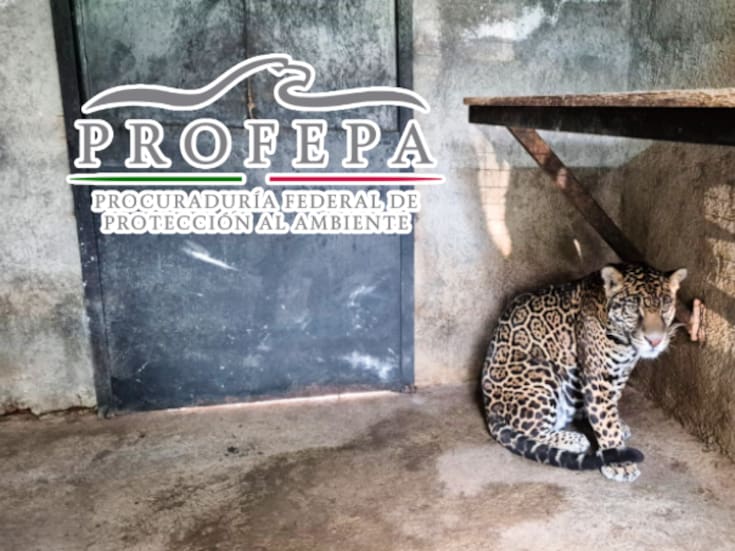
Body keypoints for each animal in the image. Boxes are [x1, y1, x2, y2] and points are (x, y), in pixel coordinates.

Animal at [481, 263, 687, 482]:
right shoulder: (598, 378)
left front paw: (617, 428)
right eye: (633, 308)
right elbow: (605, 419)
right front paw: (620, 462)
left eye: (665, 307)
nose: (655, 341)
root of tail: (489, 410)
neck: (625, 343)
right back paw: (575, 439)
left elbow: (610, 408)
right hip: (541, 372)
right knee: (532, 431)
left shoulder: (619, 373)